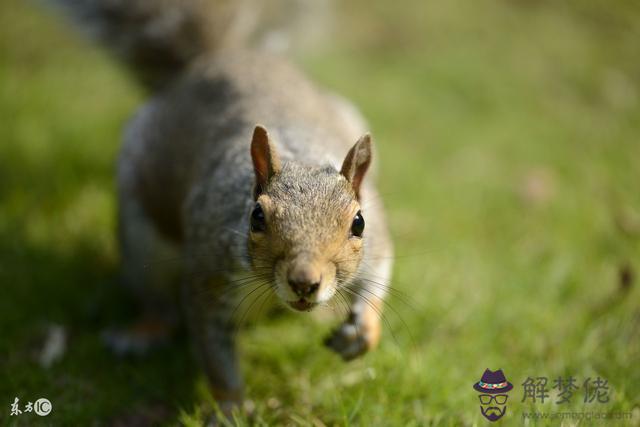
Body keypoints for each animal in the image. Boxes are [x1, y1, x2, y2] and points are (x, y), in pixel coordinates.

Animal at [51, 0, 390, 416]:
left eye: (358, 223)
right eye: (256, 217)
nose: (304, 283)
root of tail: (222, 58)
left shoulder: (378, 241)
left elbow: (378, 276)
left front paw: (362, 331)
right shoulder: (208, 277)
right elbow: (215, 356)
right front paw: (231, 410)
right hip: (139, 234)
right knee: (158, 303)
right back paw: (142, 333)